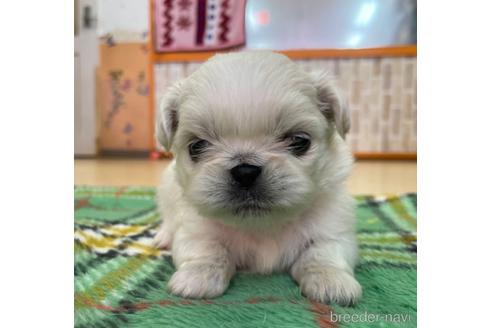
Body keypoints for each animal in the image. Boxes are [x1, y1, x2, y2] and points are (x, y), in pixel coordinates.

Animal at [154, 50, 362, 304]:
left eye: (299, 141)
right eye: (197, 146)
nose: (245, 171)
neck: (261, 225)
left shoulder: (334, 229)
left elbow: (322, 252)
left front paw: (331, 282)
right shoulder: (195, 231)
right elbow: (208, 250)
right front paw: (196, 277)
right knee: (168, 218)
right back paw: (163, 236)